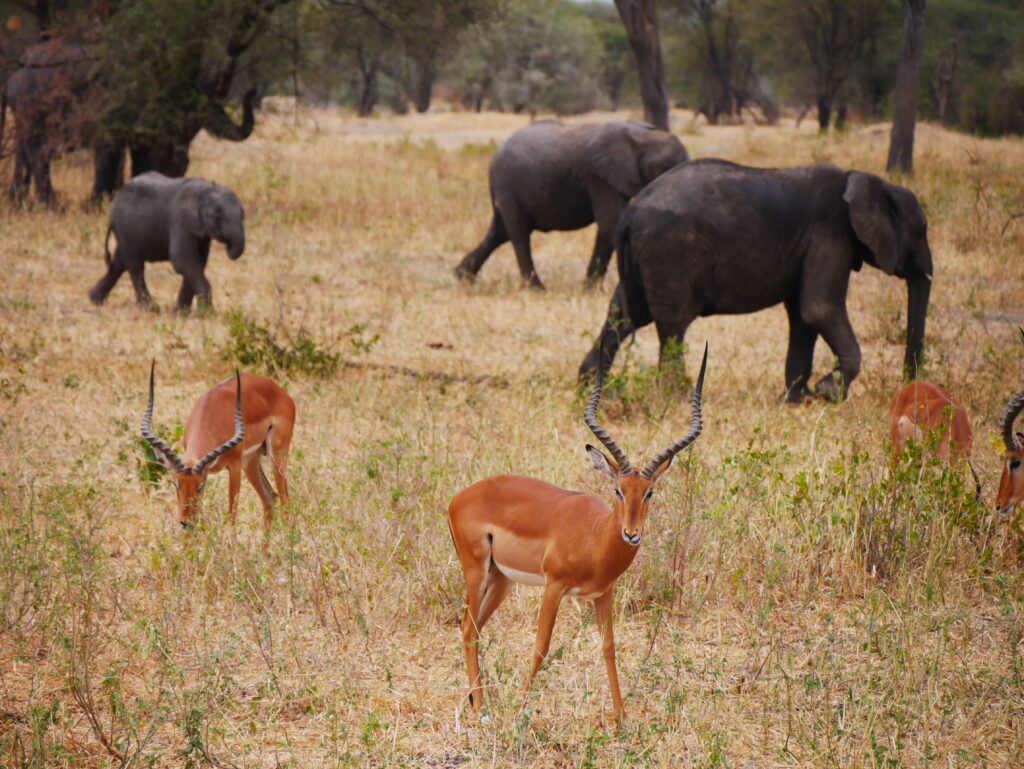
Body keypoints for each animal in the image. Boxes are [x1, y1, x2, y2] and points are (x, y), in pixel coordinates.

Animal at [87, 173, 244, 311]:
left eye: (243, 215)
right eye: (217, 216)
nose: (227, 246)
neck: (204, 190)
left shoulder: (199, 229)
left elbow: (198, 262)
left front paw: (180, 313)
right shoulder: (179, 221)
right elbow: (183, 260)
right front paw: (208, 314)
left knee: (119, 262)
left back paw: (94, 300)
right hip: (124, 227)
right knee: (135, 265)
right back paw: (150, 309)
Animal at [454, 118, 688, 290]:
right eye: (666, 166)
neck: (644, 135)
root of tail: (495, 155)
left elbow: (609, 227)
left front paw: (590, 290)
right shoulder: (599, 177)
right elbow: (611, 223)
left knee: (498, 233)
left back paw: (462, 277)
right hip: (507, 184)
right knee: (519, 234)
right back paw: (536, 289)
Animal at [581, 161, 933, 403]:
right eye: (922, 230)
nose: (908, 390)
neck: (863, 179)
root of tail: (629, 216)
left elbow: (803, 318)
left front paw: (798, 399)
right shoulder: (831, 237)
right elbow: (819, 309)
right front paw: (828, 393)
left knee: (622, 317)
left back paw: (587, 385)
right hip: (668, 252)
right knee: (672, 325)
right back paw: (676, 397)